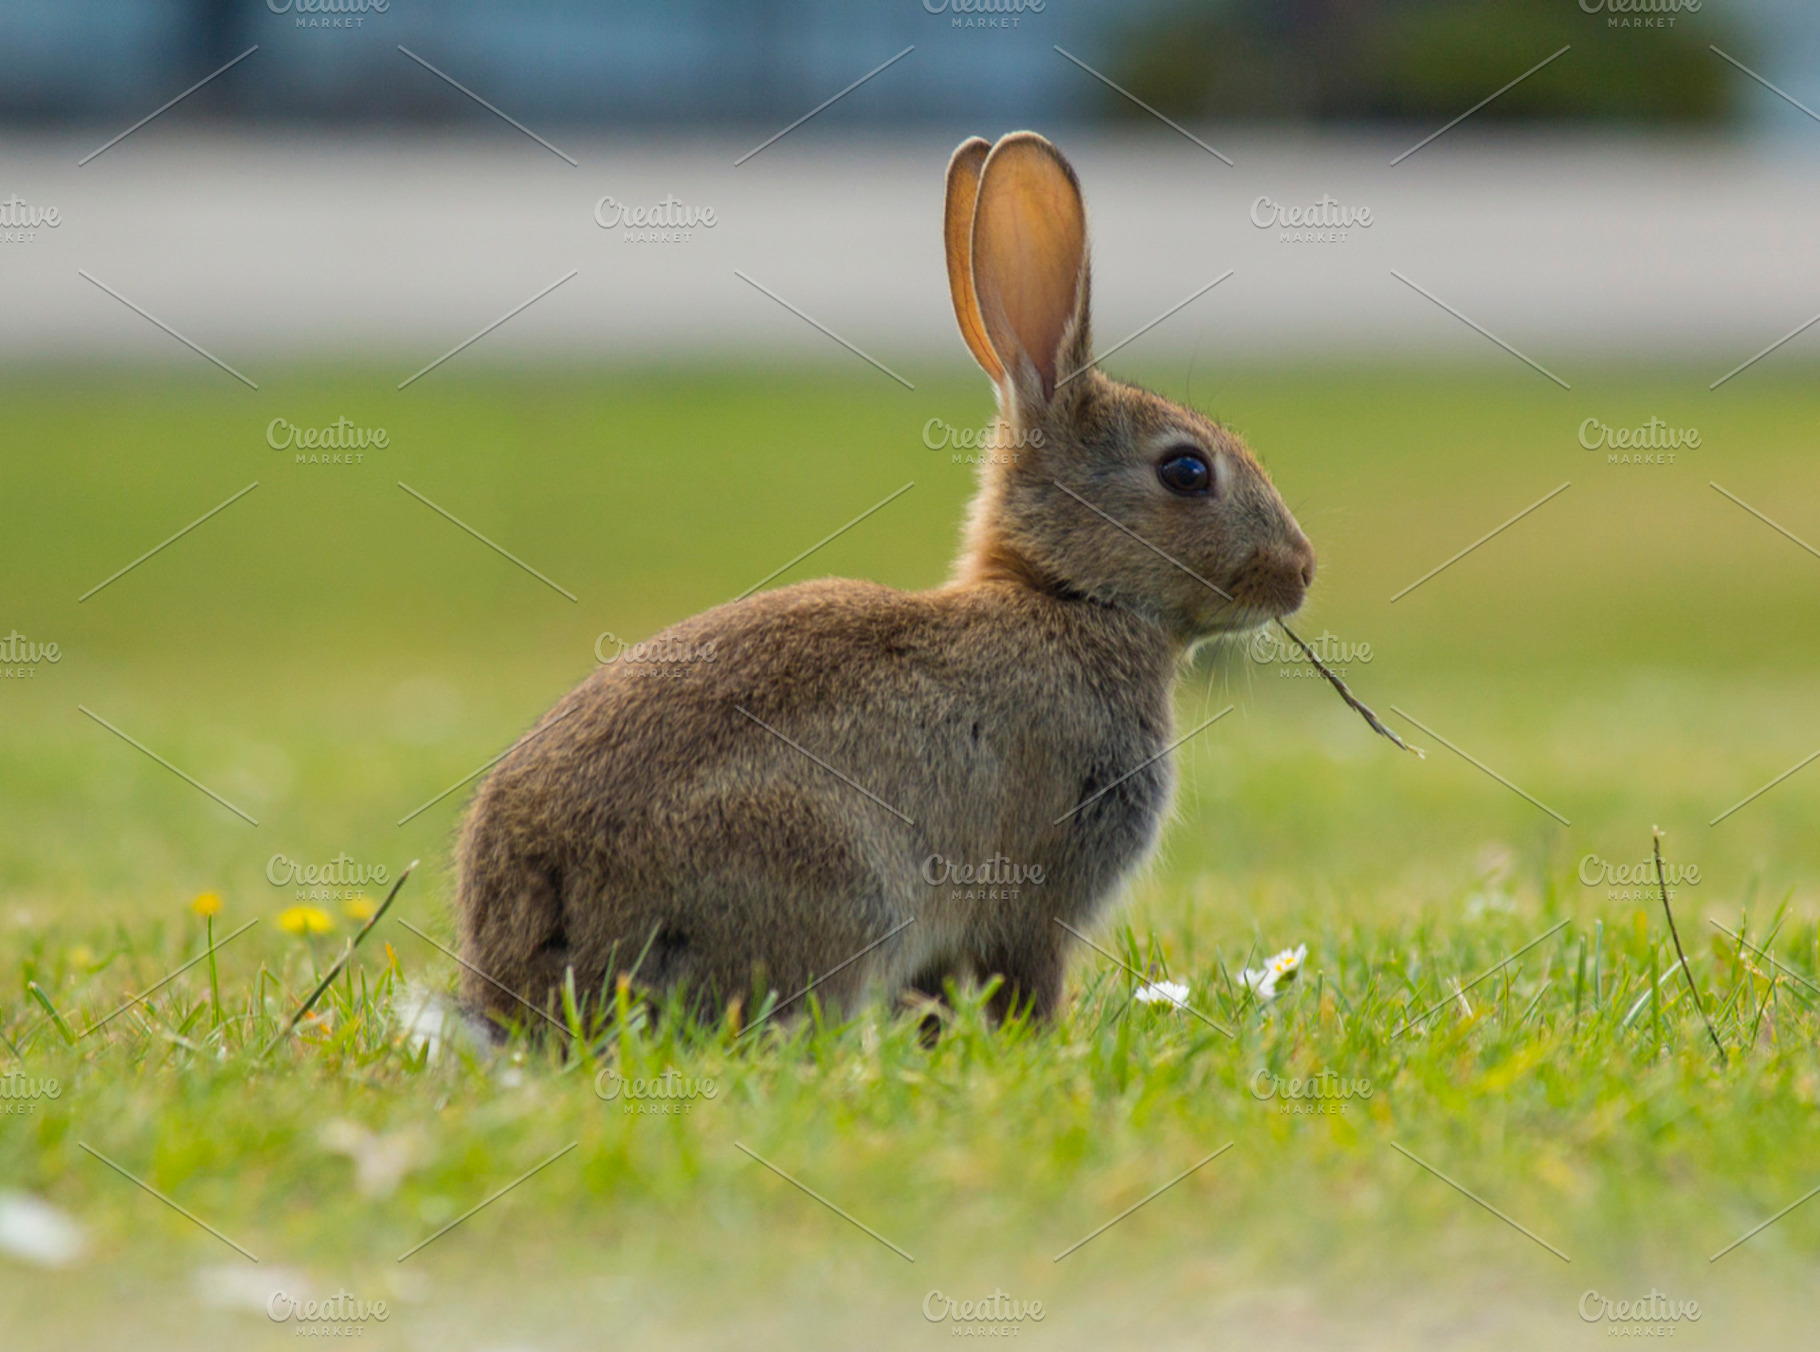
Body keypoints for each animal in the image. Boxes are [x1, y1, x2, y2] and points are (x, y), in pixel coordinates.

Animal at [454, 131, 1315, 1032]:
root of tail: (520, 973)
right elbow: (1028, 982)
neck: (1065, 597)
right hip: (835, 878)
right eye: (1187, 471)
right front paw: (1048, 1040)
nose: (1300, 570)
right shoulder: (1040, 890)